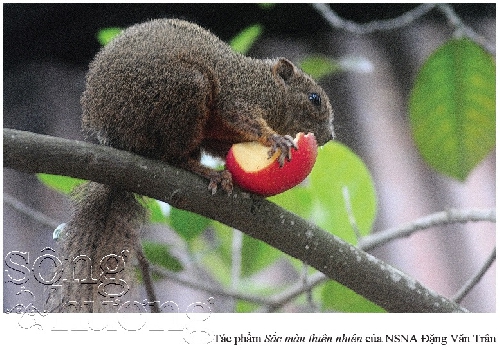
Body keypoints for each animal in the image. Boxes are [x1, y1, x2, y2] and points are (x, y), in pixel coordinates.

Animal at [48, 20, 334, 314]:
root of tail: (114, 140)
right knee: (173, 156)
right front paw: (276, 139)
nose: (329, 136)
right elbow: (242, 116)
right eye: (314, 99)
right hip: (183, 91)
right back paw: (208, 172)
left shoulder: (219, 134)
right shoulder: (241, 96)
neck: (270, 86)